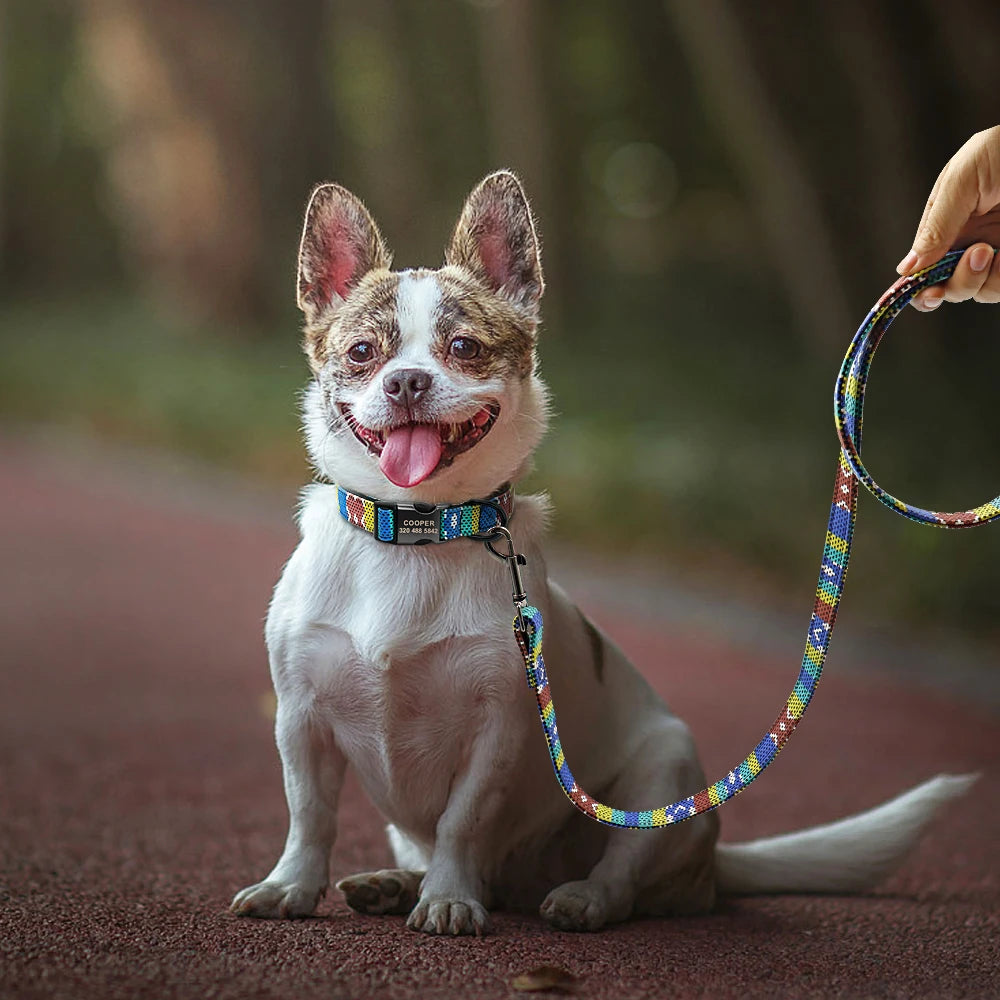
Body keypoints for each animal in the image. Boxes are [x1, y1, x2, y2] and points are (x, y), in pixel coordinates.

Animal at [232, 174, 968, 936]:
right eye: (361, 354)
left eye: (464, 346)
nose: (406, 380)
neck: (418, 530)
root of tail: (713, 864)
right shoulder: (300, 721)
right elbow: (309, 816)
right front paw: (291, 885)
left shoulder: (495, 732)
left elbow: (463, 821)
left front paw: (448, 897)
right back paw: (392, 883)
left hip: (664, 773)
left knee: (623, 871)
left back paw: (576, 897)